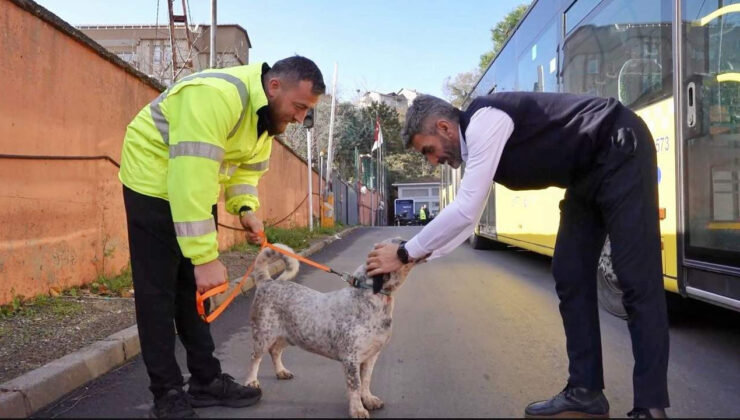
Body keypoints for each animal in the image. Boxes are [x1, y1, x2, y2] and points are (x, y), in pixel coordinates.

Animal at [244, 238, 414, 418]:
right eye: (400, 243)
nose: (407, 247)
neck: (370, 299)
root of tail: (267, 281)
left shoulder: (371, 356)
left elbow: (366, 381)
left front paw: (368, 399)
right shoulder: (351, 359)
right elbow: (356, 386)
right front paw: (358, 409)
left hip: (289, 336)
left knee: (275, 351)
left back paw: (281, 371)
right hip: (263, 336)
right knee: (255, 358)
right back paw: (251, 381)